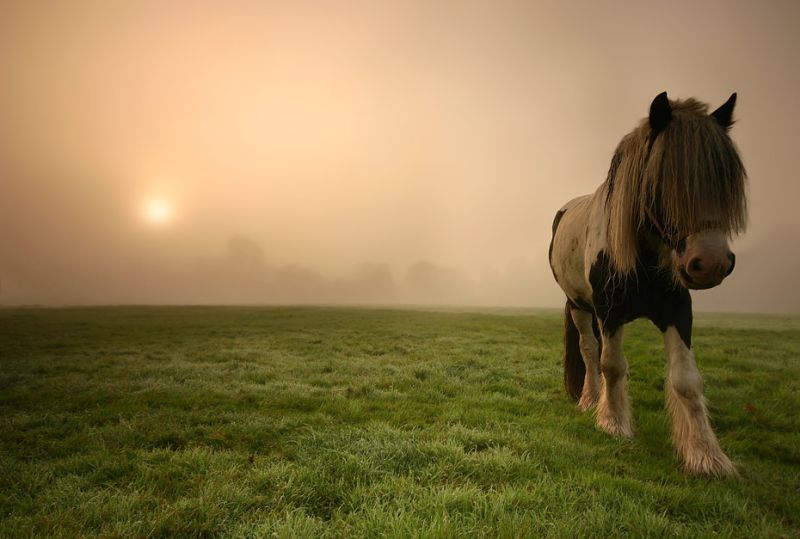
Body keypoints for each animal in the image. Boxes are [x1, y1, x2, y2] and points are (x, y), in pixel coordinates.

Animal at [548, 93, 748, 476]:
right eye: (663, 179)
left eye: (724, 180)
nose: (711, 262)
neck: (644, 255)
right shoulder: (610, 311)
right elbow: (611, 365)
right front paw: (612, 422)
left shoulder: (678, 311)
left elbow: (686, 379)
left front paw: (705, 453)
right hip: (580, 307)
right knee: (589, 351)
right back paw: (590, 399)